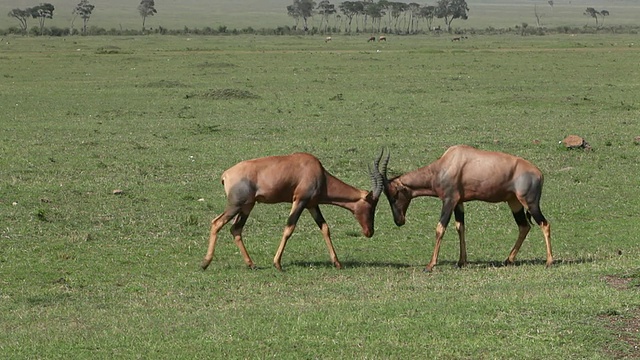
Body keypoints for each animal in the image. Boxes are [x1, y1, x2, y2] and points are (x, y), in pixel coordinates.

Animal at [200, 152, 382, 270]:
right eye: (371, 205)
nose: (369, 232)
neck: (316, 170)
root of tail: (226, 175)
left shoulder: (311, 205)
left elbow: (325, 228)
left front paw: (337, 263)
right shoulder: (299, 201)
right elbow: (289, 228)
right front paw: (277, 264)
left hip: (247, 206)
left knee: (236, 229)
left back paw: (251, 264)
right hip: (235, 205)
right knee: (216, 223)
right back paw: (205, 263)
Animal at [372, 145, 552, 272]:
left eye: (393, 196)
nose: (399, 221)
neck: (448, 163)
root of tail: (539, 174)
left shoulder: (449, 201)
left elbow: (440, 228)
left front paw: (430, 265)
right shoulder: (459, 202)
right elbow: (460, 227)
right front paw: (461, 262)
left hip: (530, 202)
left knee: (544, 224)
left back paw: (549, 262)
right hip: (514, 202)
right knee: (524, 226)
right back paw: (508, 260)